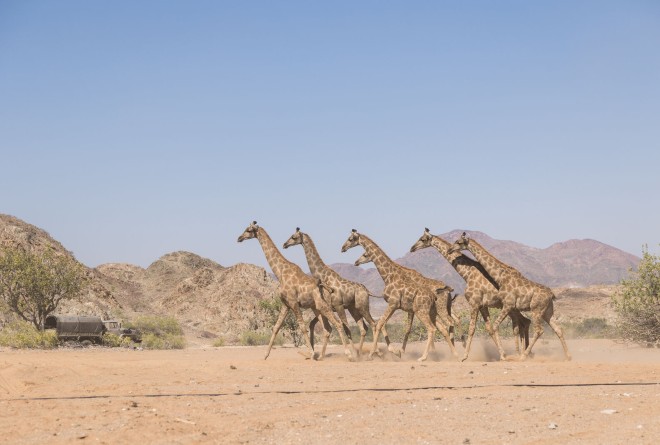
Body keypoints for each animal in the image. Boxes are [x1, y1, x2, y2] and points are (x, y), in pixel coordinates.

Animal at [235, 222, 354, 360]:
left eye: (248, 230)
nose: (239, 238)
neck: (280, 272)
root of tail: (327, 288)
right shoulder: (285, 304)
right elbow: (276, 327)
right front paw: (265, 355)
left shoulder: (293, 302)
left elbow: (302, 327)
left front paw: (311, 353)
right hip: (317, 308)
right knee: (327, 328)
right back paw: (322, 356)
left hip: (323, 305)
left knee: (338, 324)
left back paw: (348, 354)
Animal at [282, 227, 384, 356]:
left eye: (293, 237)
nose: (285, 244)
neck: (323, 275)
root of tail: (367, 291)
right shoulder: (326, 307)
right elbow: (316, 325)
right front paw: (316, 353)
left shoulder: (338, 306)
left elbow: (345, 328)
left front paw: (350, 353)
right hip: (354, 309)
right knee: (364, 328)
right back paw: (362, 352)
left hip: (362, 307)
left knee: (373, 324)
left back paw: (375, 353)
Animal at [342, 229, 456, 360]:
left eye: (350, 239)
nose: (343, 248)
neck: (389, 276)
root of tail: (446, 290)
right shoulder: (397, 306)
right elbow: (384, 324)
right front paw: (397, 352)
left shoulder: (393, 303)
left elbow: (381, 324)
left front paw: (375, 354)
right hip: (432, 311)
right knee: (443, 327)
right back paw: (453, 354)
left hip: (428, 310)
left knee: (439, 326)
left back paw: (427, 357)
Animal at [408, 229, 532, 360]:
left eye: (422, 239)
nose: (412, 248)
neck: (467, 273)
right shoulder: (482, 305)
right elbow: (489, 328)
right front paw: (502, 354)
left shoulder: (474, 303)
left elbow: (472, 329)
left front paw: (465, 356)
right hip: (511, 307)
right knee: (524, 322)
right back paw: (525, 353)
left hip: (511, 306)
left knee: (522, 323)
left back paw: (522, 353)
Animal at [448, 231, 572, 360]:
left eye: (459, 242)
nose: (449, 249)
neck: (501, 277)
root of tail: (551, 294)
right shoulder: (509, 306)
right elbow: (502, 327)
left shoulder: (508, 304)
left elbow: (495, 326)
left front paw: (504, 355)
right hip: (547, 311)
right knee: (558, 329)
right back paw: (568, 356)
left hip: (536, 310)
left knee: (539, 330)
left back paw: (524, 356)